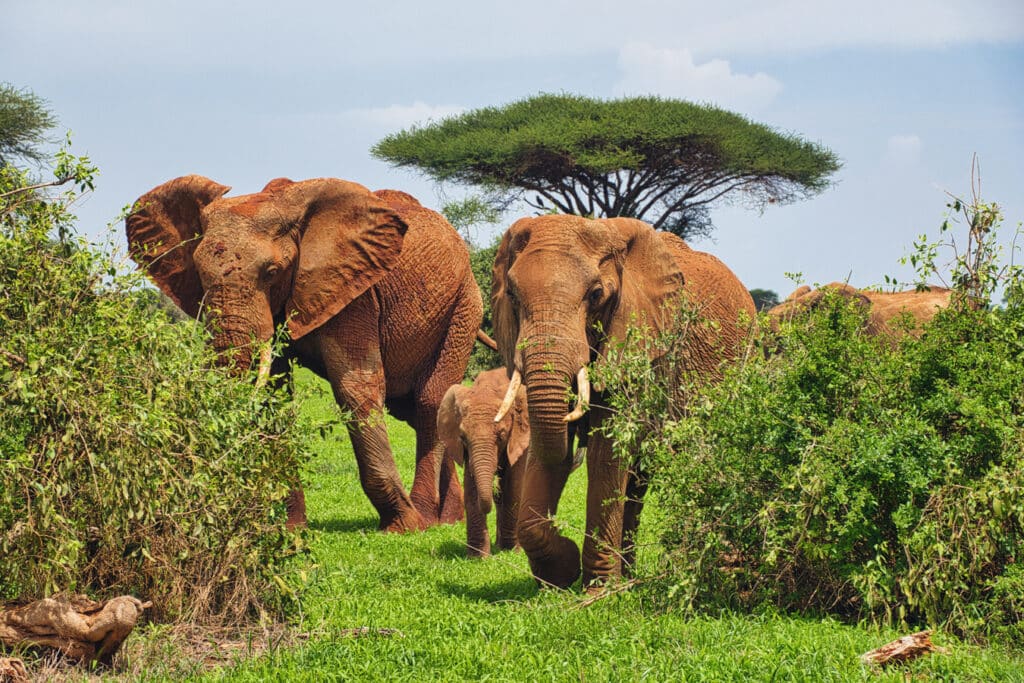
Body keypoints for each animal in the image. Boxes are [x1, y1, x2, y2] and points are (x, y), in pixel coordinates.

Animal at [124, 176, 483, 532]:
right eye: (199, 274)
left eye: (271, 272)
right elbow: (275, 393)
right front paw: (289, 528)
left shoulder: (353, 289)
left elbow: (356, 386)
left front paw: (403, 526)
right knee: (413, 408)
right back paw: (448, 519)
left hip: (463, 306)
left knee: (428, 402)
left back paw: (426, 517)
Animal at [436, 368, 528, 557]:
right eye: (462, 437)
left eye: (501, 435)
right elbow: (471, 487)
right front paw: (478, 557)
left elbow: (513, 486)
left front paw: (512, 552)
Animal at [491, 214, 757, 589]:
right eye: (512, 295)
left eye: (596, 295)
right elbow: (550, 447)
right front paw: (561, 572)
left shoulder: (639, 345)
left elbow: (607, 451)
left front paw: (599, 589)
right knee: (637, 482)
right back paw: (631, 574)